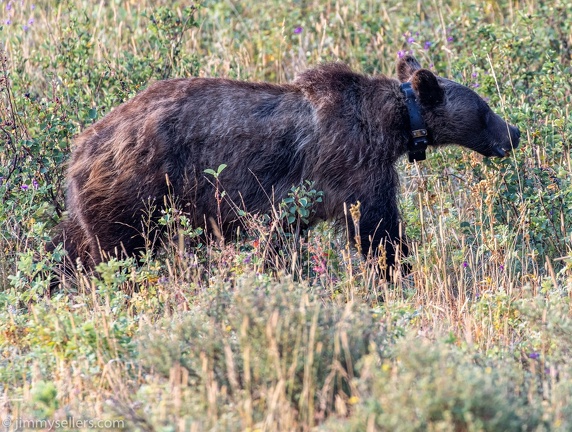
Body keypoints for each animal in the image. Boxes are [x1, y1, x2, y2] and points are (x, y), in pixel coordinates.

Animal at [51, 54, 520, 276]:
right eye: (485, 109)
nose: (513, 133)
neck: (395, 123)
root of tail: (78, 149)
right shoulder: (350, 163)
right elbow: (377, 229)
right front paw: (399, 271)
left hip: (93, 206)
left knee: (70, 251)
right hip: (134, 191)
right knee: (118, 251)